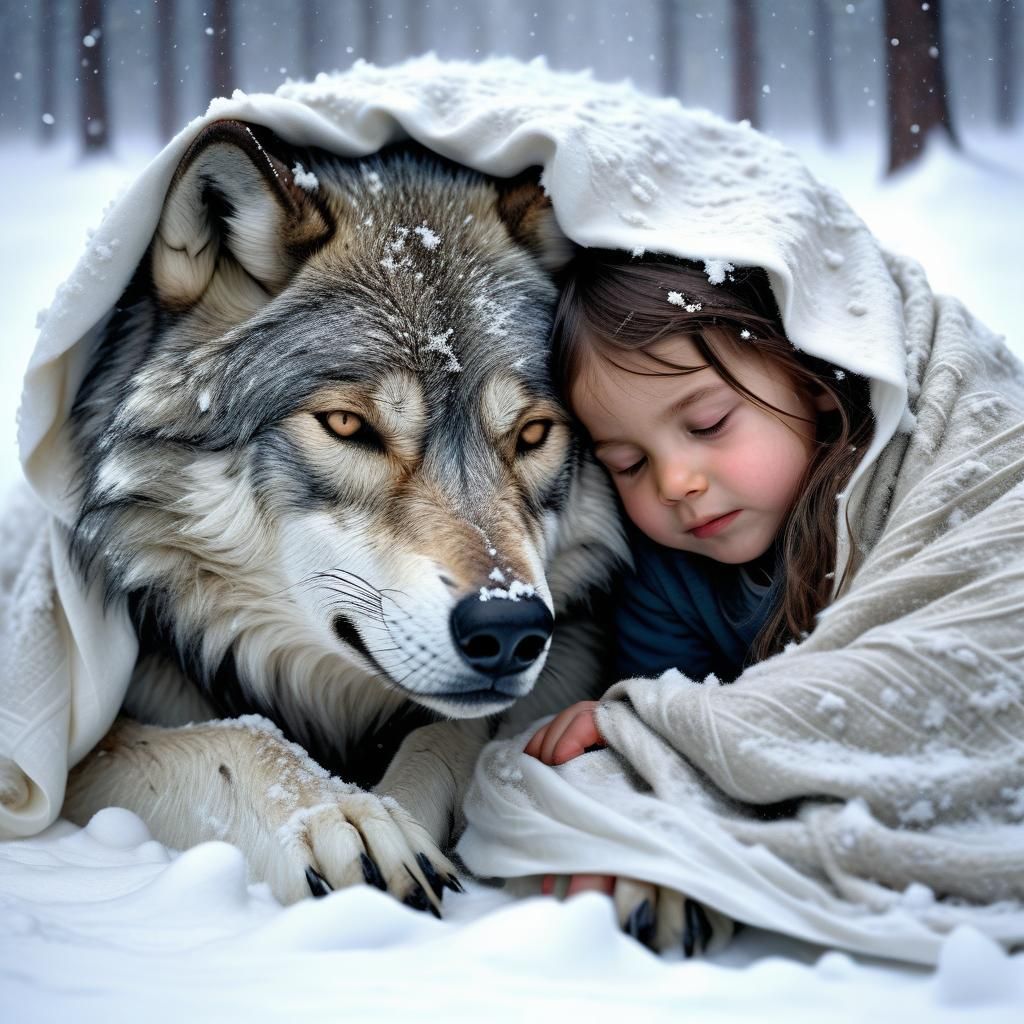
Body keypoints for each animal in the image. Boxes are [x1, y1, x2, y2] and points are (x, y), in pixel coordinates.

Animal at [59, 120, 625, 913]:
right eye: (348, 426)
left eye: (534, 434)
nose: (511, 628)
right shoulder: (86, 751)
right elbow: (237, 739)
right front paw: (342, 817)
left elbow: (458, 734)